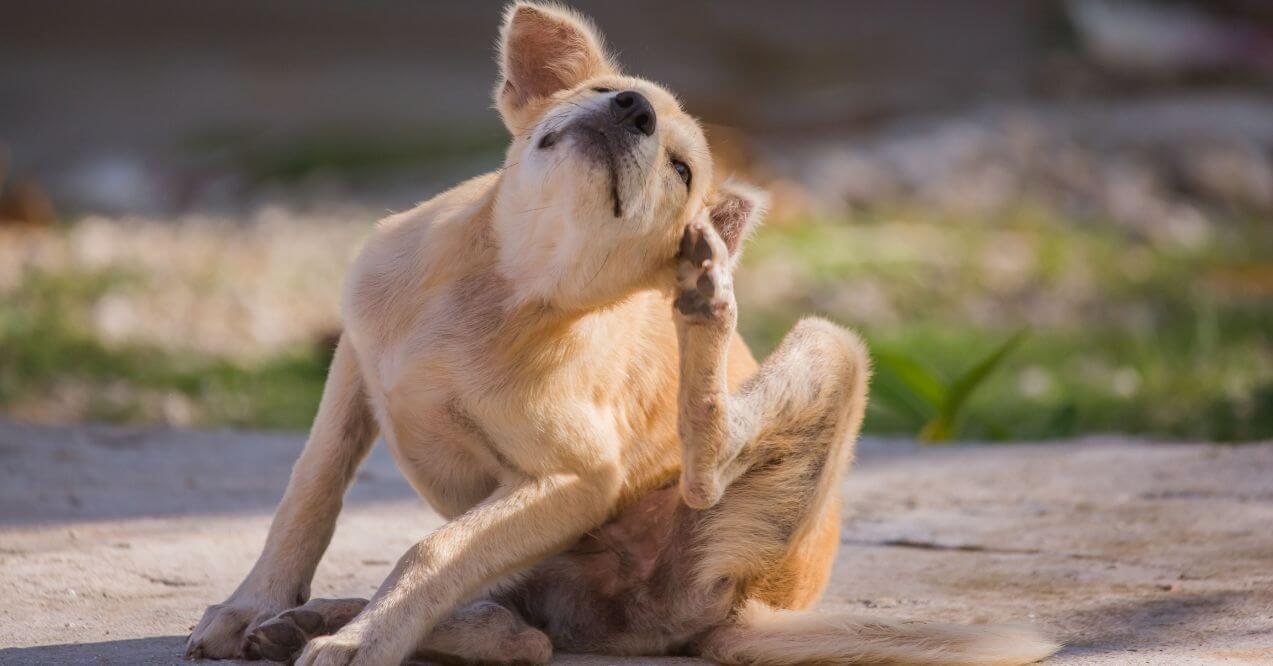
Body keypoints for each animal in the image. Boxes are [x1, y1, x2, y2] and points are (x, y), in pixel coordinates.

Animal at [184, 2, 1059, 662]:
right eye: (609, 89)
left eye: (680, 169)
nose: (630, 110)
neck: (499, 287)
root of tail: (745, 615)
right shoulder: (354, 368)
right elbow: (309, 492)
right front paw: (253, 604)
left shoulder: (574, 479)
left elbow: (430, 552)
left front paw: (363, 641)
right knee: (518, 629)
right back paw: (325, 619)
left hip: (818, 365)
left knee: (687, 482)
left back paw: (707, 305)